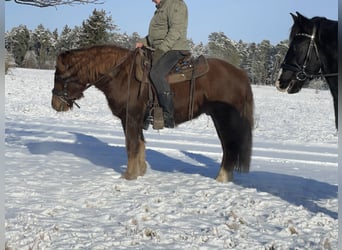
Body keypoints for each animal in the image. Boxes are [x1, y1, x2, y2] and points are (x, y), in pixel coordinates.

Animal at [50, 44, 254, 182]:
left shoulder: (130, 118)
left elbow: (131, 145)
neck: (121, 75)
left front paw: (129, 175)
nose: (55, 104)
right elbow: (140, 144)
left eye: (59, 76)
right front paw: (140, 171)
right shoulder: (136, 120)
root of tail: (241, 74)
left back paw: (221, 177)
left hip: (224, 119)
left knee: (229, 147)